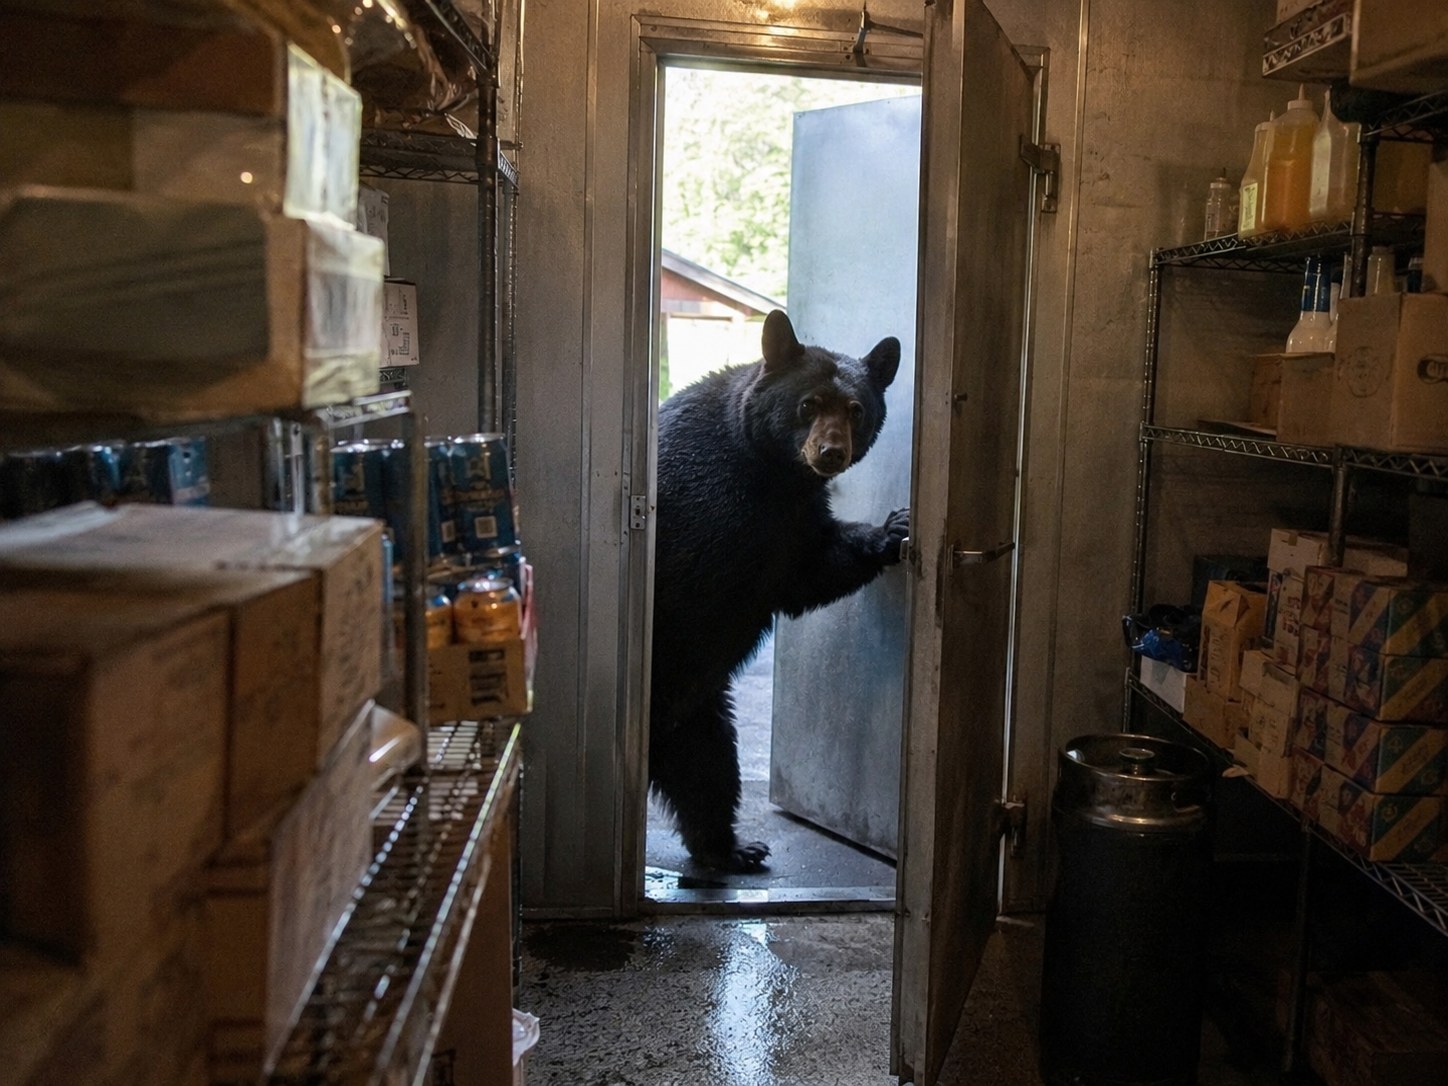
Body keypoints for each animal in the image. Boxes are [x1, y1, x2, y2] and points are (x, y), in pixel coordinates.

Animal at [649, 308, 910, 873]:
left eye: (856, 410)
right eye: (808, 403)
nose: (831, 451)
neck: (772, 474)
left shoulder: (794, 520)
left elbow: (810, 568)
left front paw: (893, 528)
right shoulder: (705, 496)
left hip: (699, 709)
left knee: (707, 765)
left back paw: (729, 847)